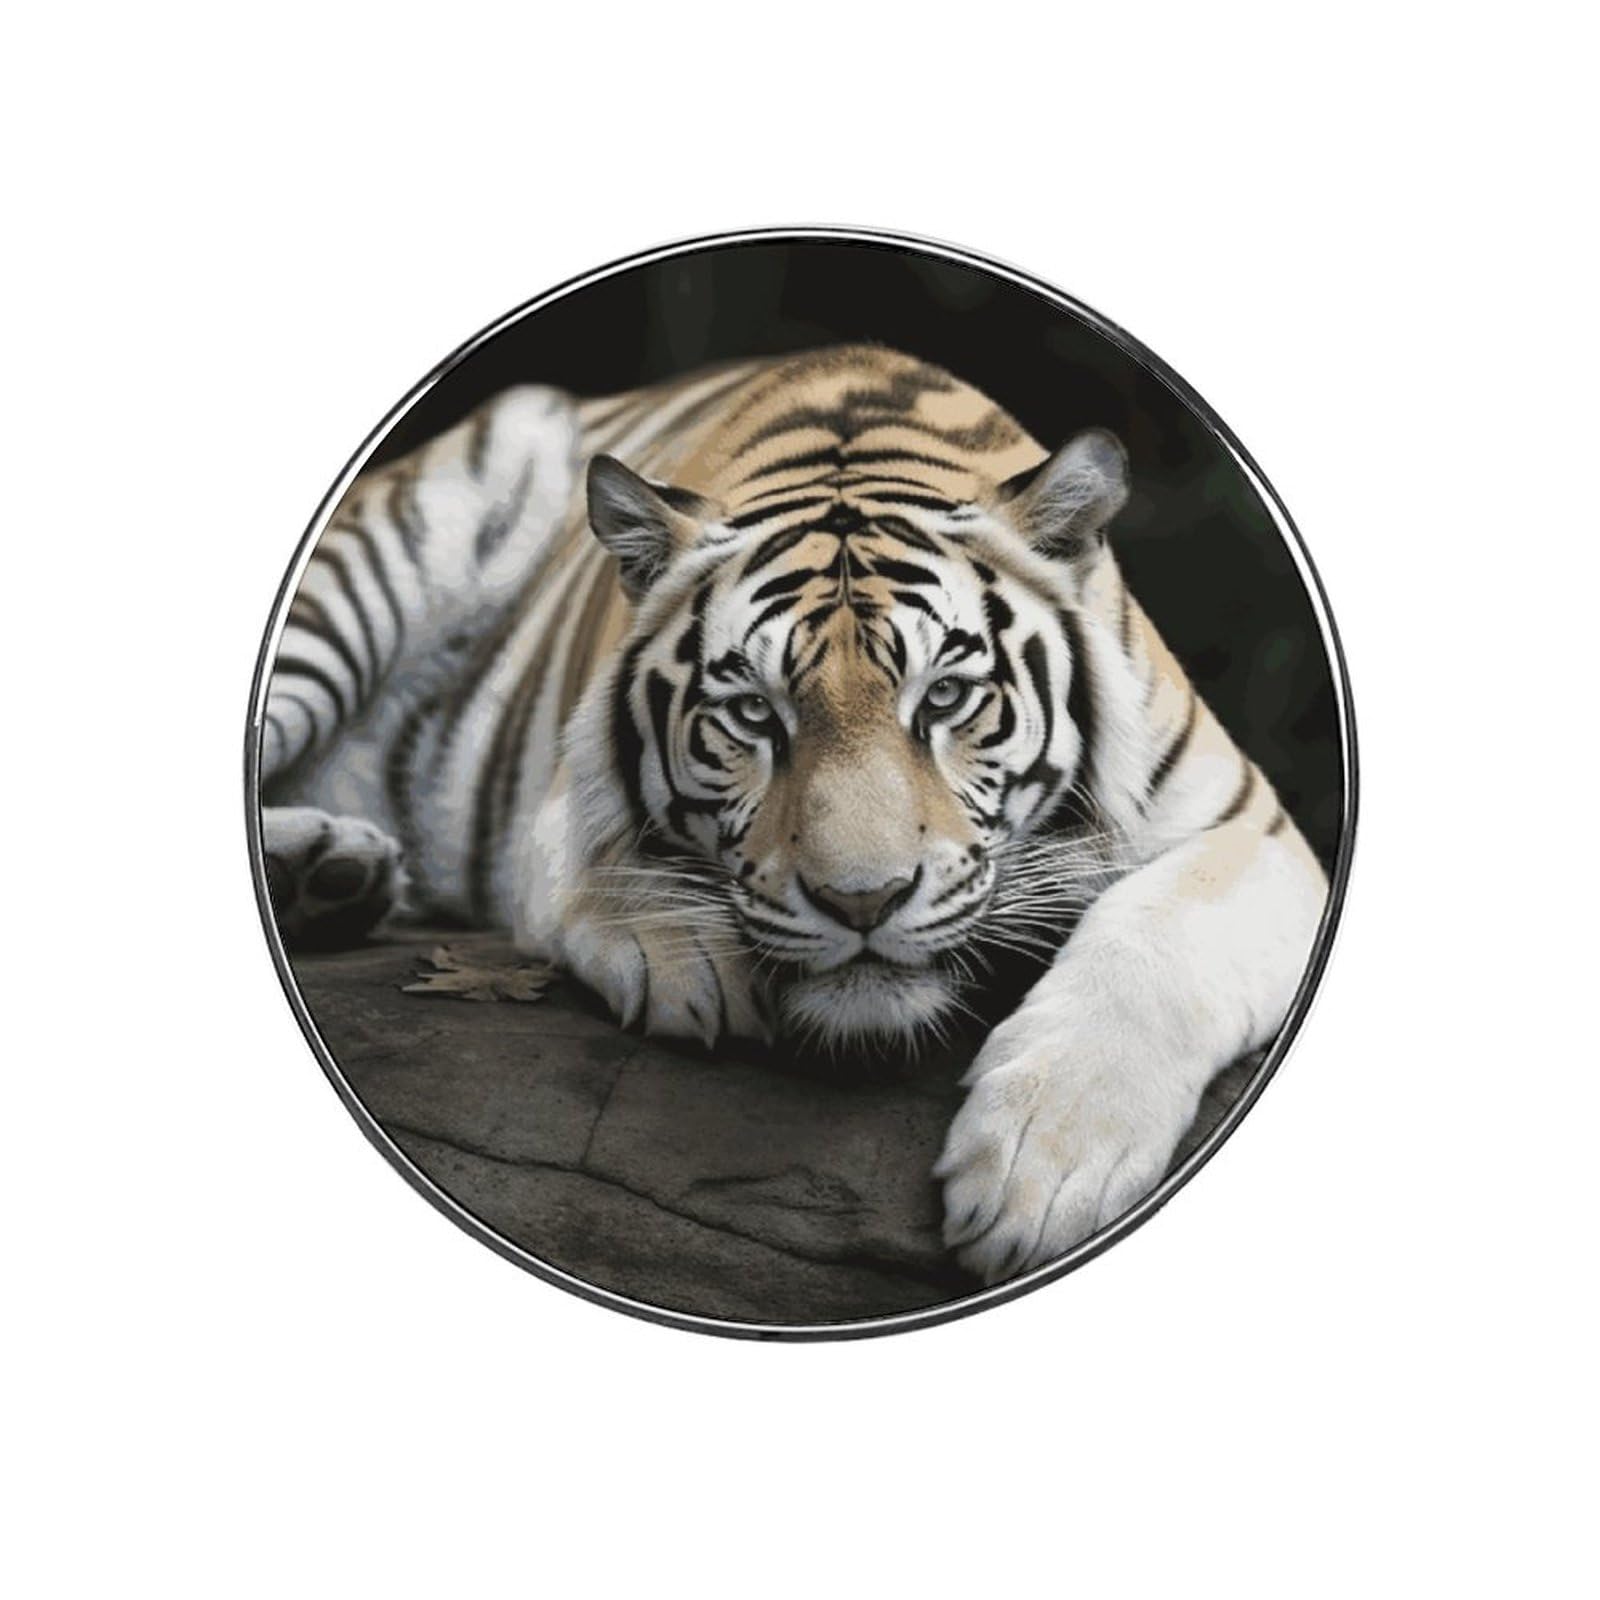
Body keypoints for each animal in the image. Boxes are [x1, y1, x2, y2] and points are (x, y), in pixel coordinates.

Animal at [259, 344, 1329, 1285]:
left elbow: (1163, 938)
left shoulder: (1256, 831)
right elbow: (605, 862)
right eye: (752, 714)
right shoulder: (564, 795)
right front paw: (687, 953)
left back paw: (331, 874)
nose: (862, 903)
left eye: (945, 698)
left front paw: (1044, 1165)